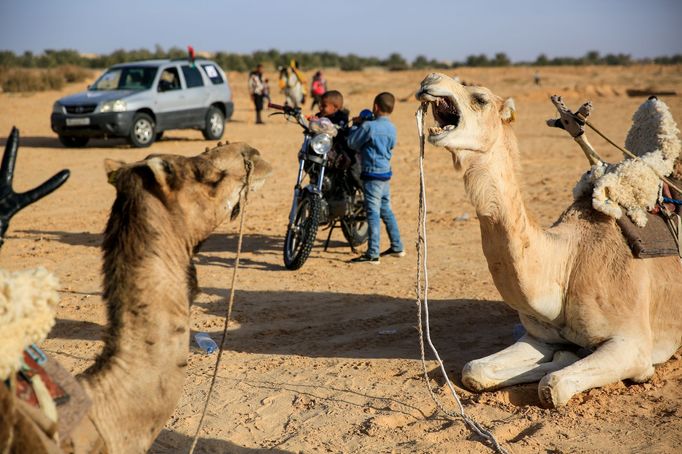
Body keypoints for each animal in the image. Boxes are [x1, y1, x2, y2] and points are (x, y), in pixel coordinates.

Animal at [412, 73, 680, 408]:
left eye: (480, 98)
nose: (430, 79)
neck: (566, 264)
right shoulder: (538, 336)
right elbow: (474, 370)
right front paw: (565, 354)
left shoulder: (632, 341)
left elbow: (552, 386)